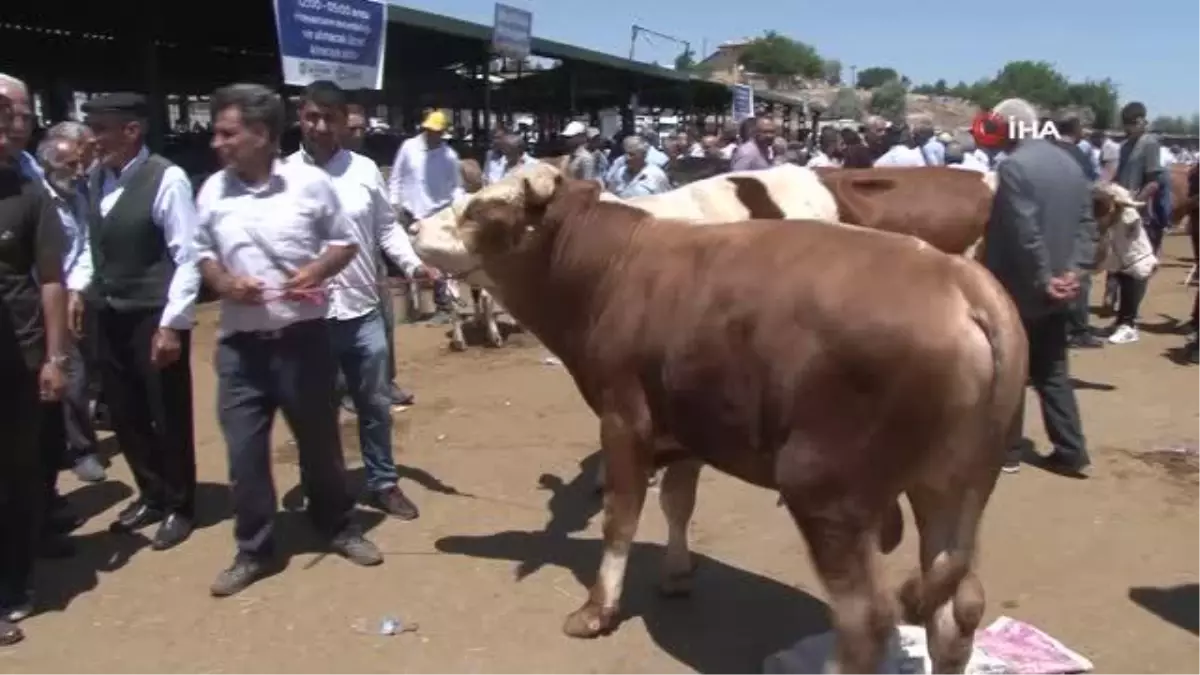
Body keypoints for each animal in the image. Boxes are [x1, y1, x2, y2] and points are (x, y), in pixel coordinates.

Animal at [446, 164, 1027, 672]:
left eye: (481, 208)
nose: (422, 224)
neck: (613, 268)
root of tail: (962, 283)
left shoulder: (623, 416)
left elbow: (620, 515)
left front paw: (596, 611)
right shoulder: (684, 422)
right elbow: (677, 502)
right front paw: (677, 574)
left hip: (825, 491)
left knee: (867, 619)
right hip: (953, 489)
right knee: (956, 607)